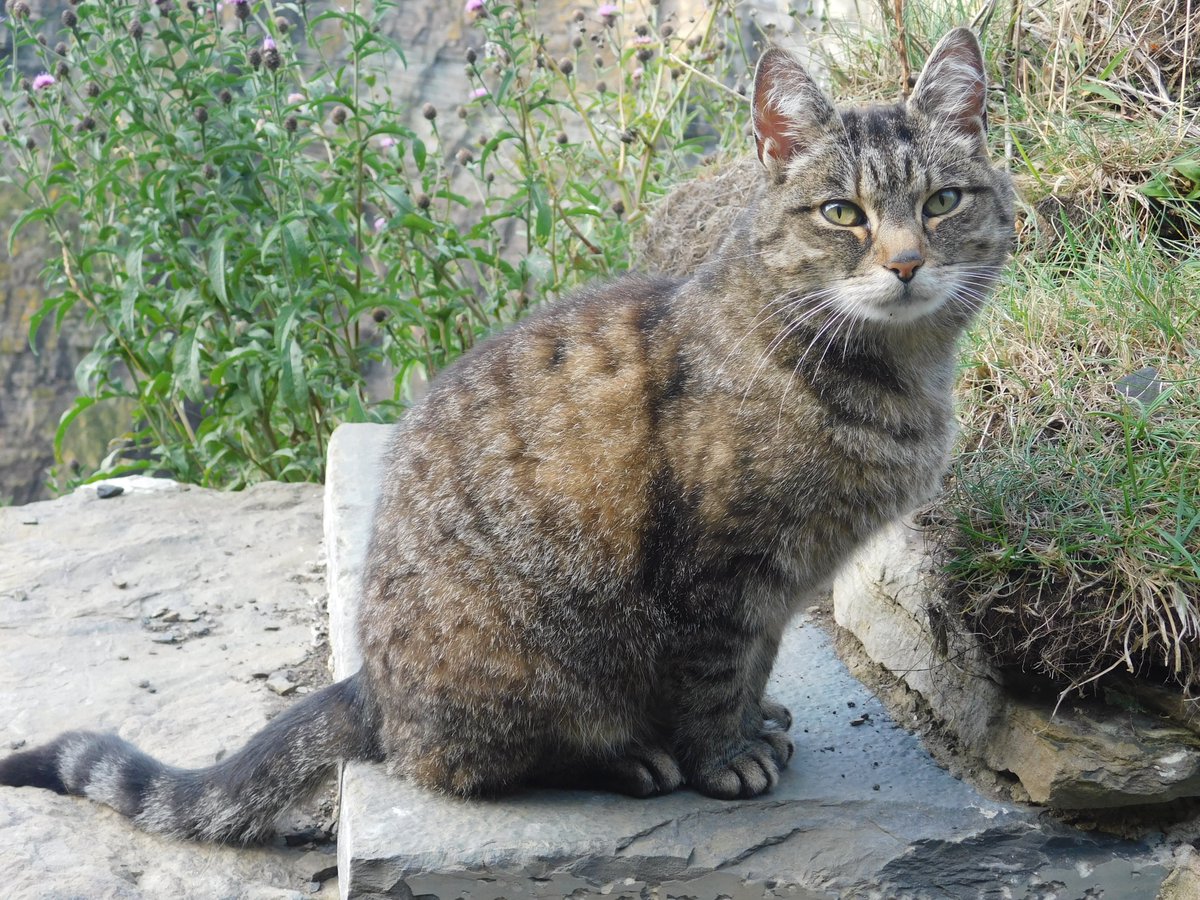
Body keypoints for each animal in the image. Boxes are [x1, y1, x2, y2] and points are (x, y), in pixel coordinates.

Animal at [0, 28, 1012, 844]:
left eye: (943, 202)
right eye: (843, 213)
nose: (907, 263)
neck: (893, 372)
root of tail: (372, 685)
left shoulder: (782, 581)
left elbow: (757, 659)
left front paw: (758, 718)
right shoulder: (723, 569)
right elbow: (714, 671)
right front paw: (725, 752)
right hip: (530, 664)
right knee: (460, 762)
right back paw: (625, 757)